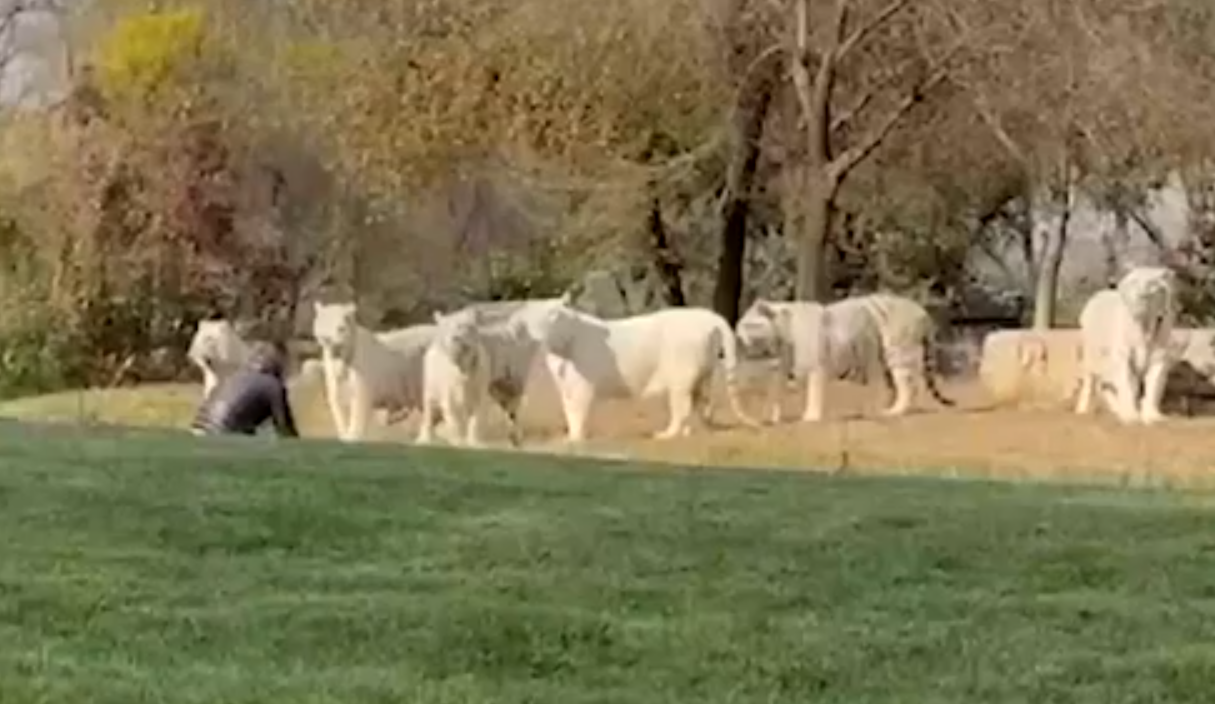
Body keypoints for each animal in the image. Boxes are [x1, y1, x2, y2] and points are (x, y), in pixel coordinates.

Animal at [308, 301, 437, 440]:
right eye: (323, 323)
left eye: (340, 328)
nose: (326, 339)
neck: (341, 357)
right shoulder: (334, 382)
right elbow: (337, 407)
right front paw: (344, 434)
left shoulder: (361, 386)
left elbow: (357, 412)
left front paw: (353, 436)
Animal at [417, 308, 493, 447]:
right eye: (445, 327)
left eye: (464, 325)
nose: (455, 338)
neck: (463, 368)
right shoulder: (448, 395)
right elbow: (453, 419)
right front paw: (458, 441)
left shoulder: (479, 391)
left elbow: (476, 418)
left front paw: (475, 442)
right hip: (429, 388)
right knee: (429, 410)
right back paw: (425, 439)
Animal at [522, 296, 758, 440]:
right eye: (532, 319)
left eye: (552, 317)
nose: (539, 334)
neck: (560, 345)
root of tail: (710, 317)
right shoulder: (565, 384)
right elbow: (567, 406)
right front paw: (570, 435)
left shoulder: (582, 383)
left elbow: (577, 407)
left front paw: (575, 439)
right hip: (702, 371)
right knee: (698, 400)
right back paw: (692, 431)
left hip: (681, 370)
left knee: (681, 404)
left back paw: (666, 435)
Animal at [733, 293, 952, 423]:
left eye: (747, 325)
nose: (736, 337)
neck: (782, 334)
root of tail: (922, 310)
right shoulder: (784, 367)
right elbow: (776, 391)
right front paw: (773, 418)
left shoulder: (816, 366)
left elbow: (814, 391)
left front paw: (811, 417)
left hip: (897, 351)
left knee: (909, 385)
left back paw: (893, 411)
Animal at [1074, 266, 1176, 423]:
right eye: (1134, 282)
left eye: (1152, 284)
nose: (1142, 295)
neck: (1145, 325)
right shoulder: (1123, 355)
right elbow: (1127, 383)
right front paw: (1130, 416)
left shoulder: (1159, 356)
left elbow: (1154, 383)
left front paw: (1153, 417)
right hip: (1091, 357)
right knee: (1090, 383)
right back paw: (1082, 411)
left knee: (1105, 386)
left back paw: (1117, 409)